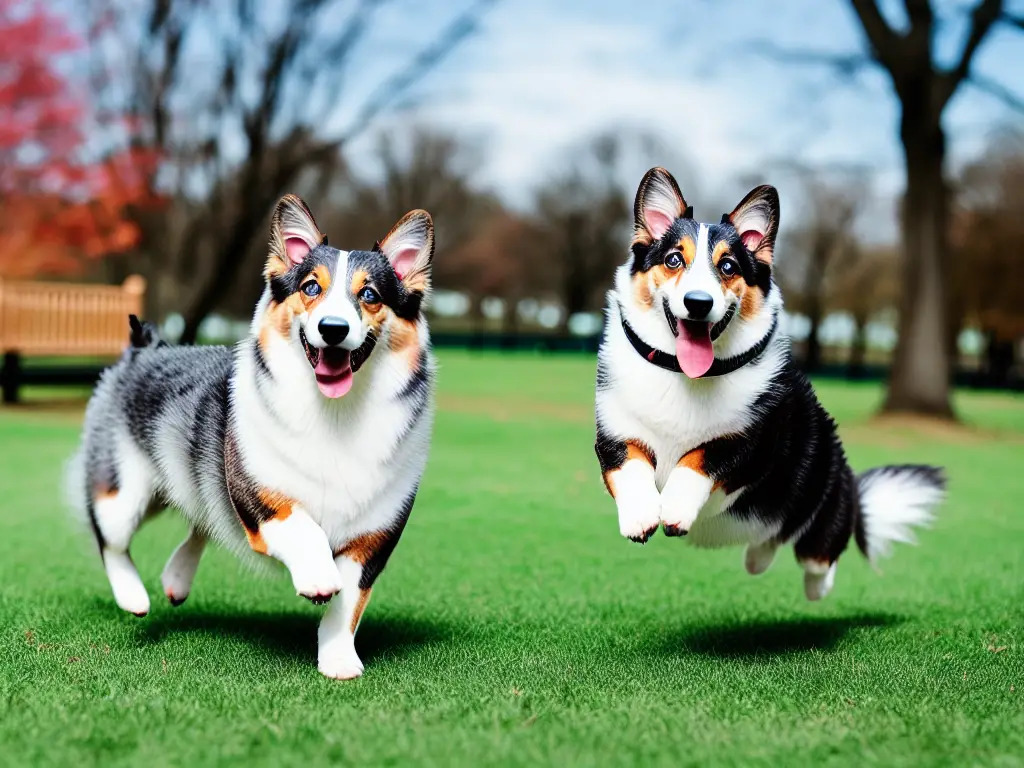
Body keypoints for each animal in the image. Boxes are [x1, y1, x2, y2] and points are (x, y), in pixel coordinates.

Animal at [67, 193, 436, 679]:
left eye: (370, 295)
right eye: (311, 288)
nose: (333, 329)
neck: (336, 414)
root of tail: (144, 349)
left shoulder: (374, 537)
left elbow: (349, 603)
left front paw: (339, 660)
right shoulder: (257, 493)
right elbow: (303, 526)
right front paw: (318, 577)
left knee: (201, 518)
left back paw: (176, 580)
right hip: (125, 491)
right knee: (108, 535)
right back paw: (133, 596)